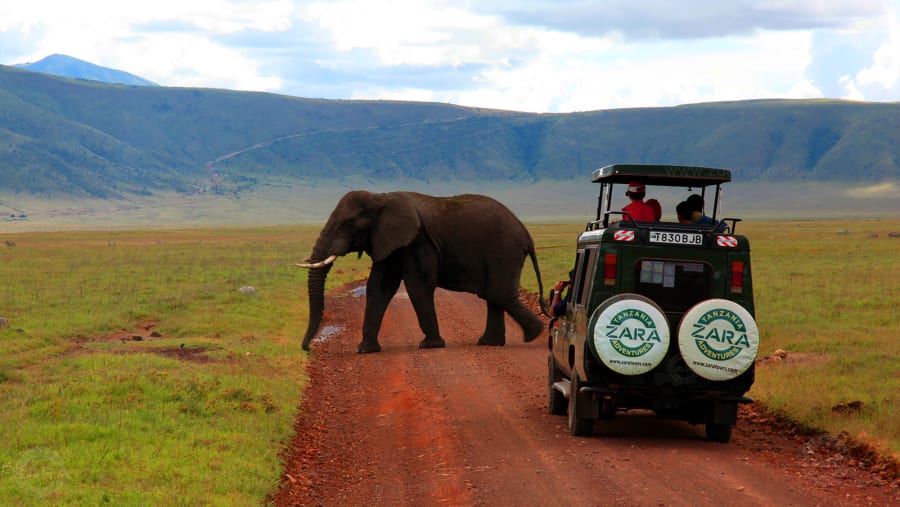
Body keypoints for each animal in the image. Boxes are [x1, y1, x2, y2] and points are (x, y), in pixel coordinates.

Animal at [296, 190, 549, 353]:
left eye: (348, 224)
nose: (309, 349)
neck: (380, 197)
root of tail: (526, 234)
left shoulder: (417, 242)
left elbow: (417, 285)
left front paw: (430, 346)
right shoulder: (388, 243)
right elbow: (378, 287)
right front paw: (364, 350)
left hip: (504, 251)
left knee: (497, 293)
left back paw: (533, 334)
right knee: (493, 295)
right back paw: (491, 343)